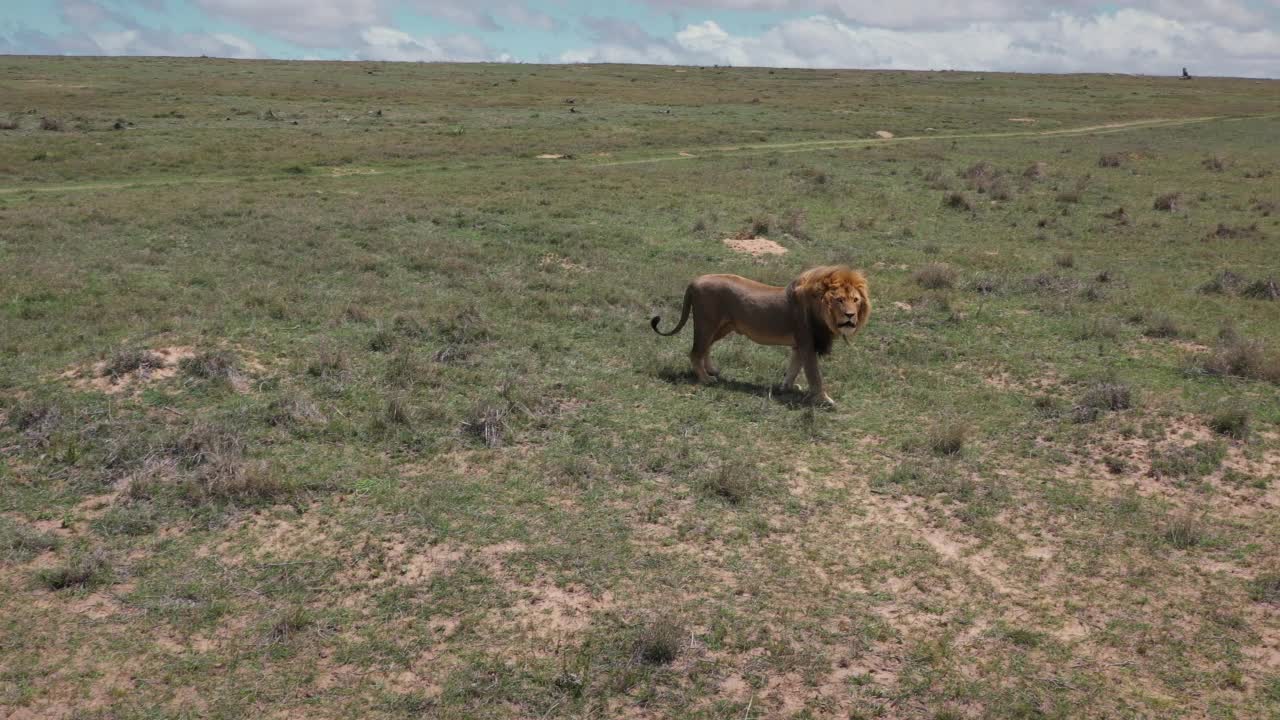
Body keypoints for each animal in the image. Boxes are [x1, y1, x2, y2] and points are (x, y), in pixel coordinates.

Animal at [650, 265, 870, 404]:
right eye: (839, 300)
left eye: (856, 300)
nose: (850, 316)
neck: (822, 310)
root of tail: (694, 281)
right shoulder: (808, 345)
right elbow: (815, 376)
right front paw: (826, 400)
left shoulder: (799, 345)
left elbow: (793, 368)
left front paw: (787, 387)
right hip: (707, 323)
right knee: (696, 352)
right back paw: (706, 379)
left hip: (723, 326)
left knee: (705, 348)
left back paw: (712, 370)